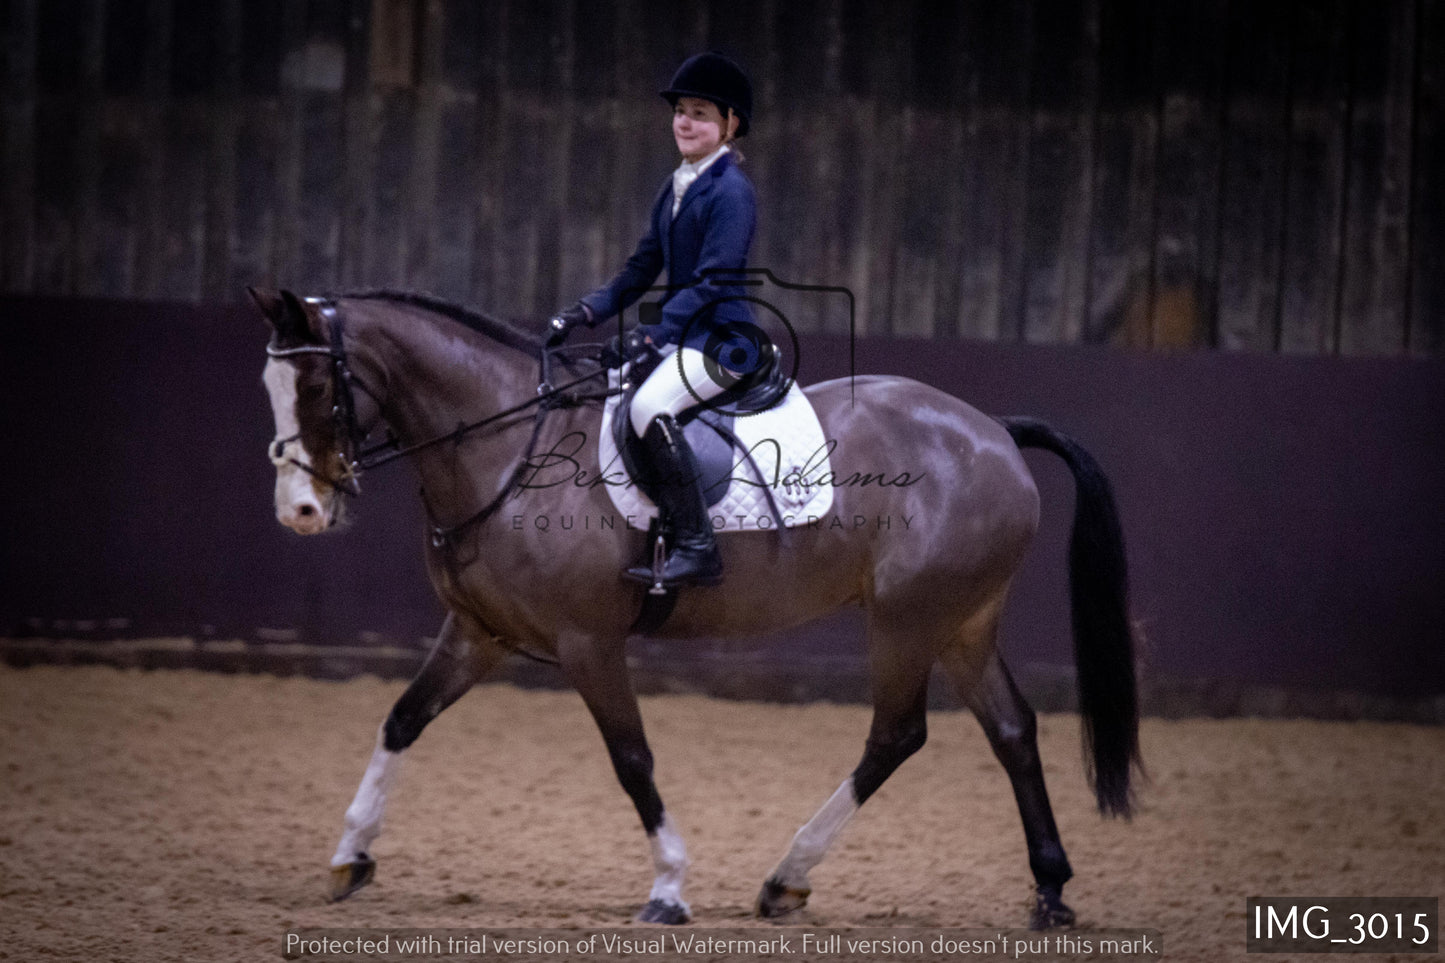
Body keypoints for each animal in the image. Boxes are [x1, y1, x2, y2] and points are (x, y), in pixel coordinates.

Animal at [251, 286, 1138, 931]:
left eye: (321, 385)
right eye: (270, 388)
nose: (300, 511)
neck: (507, 450)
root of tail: (992, 430)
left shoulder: (587, 642)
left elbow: (631, 759)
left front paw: (670, 888)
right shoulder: (480, 633)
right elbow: (401, 718)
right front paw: (350, 855)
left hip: (906, 620)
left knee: (897, 734)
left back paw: (785, 877)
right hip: (961, 621)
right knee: (1012, 729)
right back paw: (1049, 891)